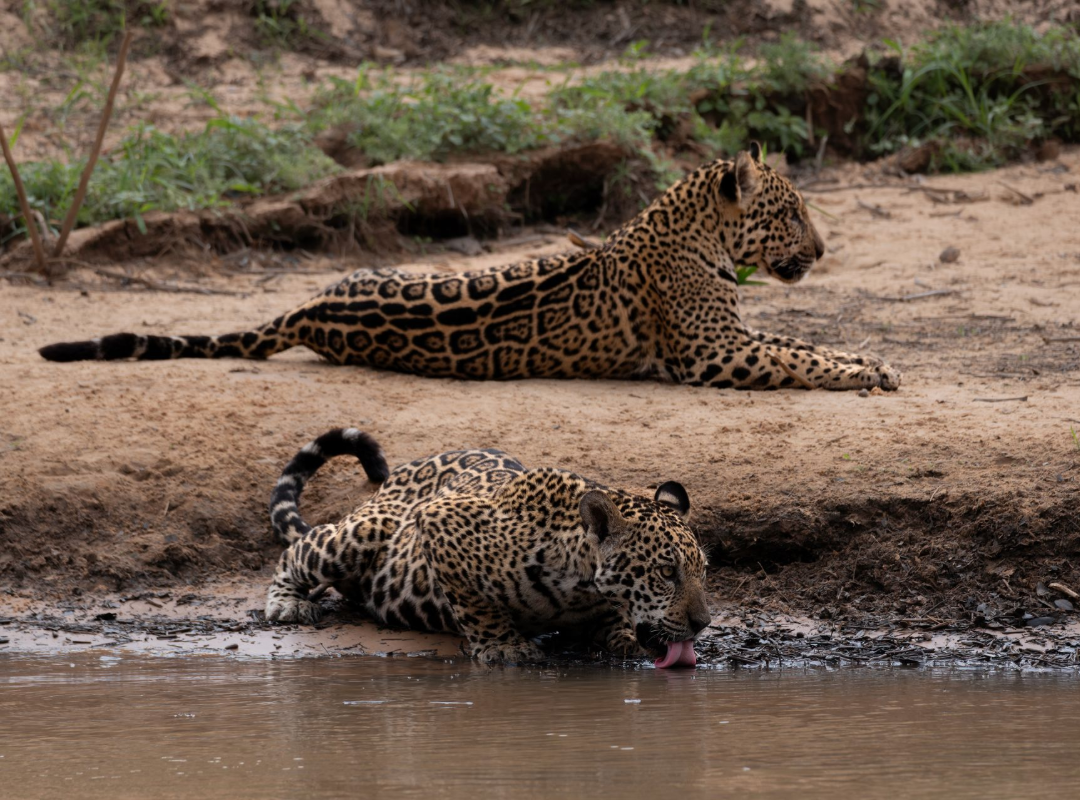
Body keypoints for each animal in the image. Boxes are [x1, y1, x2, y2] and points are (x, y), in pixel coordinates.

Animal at [40, 143, 899, 391]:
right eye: (789, 213)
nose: (823, 251)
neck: (697, 235)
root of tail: (306, 307)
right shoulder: (713, 353)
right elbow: (797, 358)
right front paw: (865, 371)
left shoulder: (733, 337)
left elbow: (803, 343)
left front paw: (871, 359)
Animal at [263, 427, 711, 667]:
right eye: (666, 572)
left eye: (702, 571)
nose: (703, 623)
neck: (581, 582)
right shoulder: (440, 522)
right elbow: (476, 604)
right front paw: (503, 646)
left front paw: (624, 635)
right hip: (369, 528)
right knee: (296, 551)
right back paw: (287, 603)